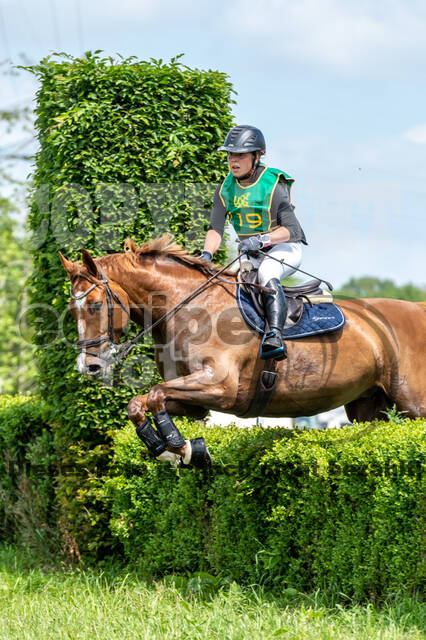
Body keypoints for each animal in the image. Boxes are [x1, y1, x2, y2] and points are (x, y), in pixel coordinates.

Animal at [60, 234, 426, 468]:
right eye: (71, 308)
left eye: (94, 305)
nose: (88, 367)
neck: (188, 307)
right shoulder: (194, 401)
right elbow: (141, 402)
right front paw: (173, 449)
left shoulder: (221, 386)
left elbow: (154, 394)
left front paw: (182, 448)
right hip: (370, 406)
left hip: (412, 403)